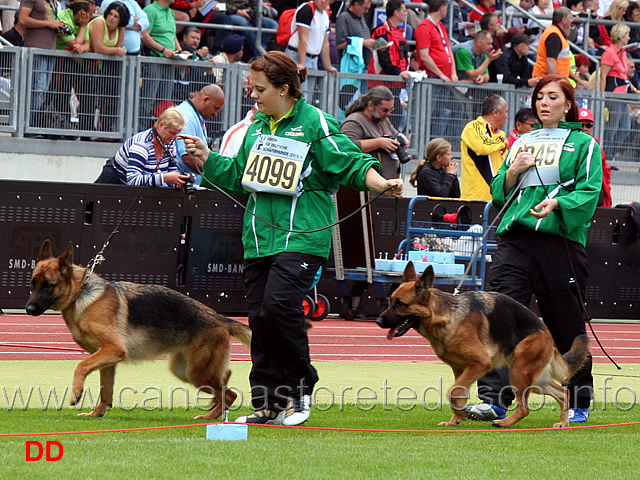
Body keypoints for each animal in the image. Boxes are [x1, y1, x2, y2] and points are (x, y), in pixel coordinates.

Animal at [25, 238, 251, 418]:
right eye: (33, 283)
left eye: (48, 285)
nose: (28, 309)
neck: (81, 294)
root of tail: (221, 319)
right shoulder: (107, 359)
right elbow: (105, 391)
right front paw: (96, 414)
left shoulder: (113, 350)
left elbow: (81, 365)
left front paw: (77, 392)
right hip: (185, 370)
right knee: (226, 379)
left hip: (196, 371)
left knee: (230, 394)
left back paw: (209, 417)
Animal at [376, 262, 592, 428]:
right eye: (390, 300)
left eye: (400, 304)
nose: (378, 321)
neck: (448, 315)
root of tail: (547, 333)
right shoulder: (461, 369)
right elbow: (459, 392)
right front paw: (456, 418)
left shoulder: (480, 364)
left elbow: (453, 391)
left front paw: (458, 415)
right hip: (536, 378)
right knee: (563, 393)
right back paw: (563, 422)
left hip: (518, 371)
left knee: (525, 407)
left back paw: (505, 423)